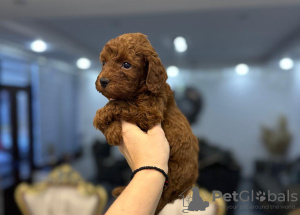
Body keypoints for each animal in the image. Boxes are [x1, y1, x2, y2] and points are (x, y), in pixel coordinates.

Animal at [92, 32, 198, 214]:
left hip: (172, 178)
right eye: (104, 63)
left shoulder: (149, 112)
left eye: (126, 65)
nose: (103, 81)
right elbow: (119, 104)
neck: (141, 90)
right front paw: (112, 131)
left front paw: (101, 116)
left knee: (160, 201)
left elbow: (120, 103)